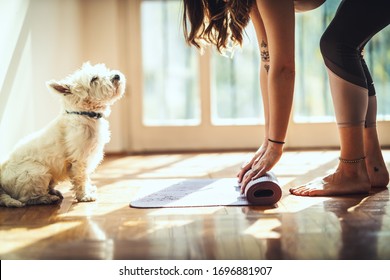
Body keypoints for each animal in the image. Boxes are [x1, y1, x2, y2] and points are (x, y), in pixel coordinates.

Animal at [0, 62, 125, 207]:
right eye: (94, 79)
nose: (117, 76)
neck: (84, 114)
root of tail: (1, 183)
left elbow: (86, 177)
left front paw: (89, 190)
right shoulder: (79, 158)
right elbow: (81, 178)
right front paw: (84, 196)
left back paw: (54, 192)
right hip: (36, 172)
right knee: (27, 198)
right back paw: (48, 198)